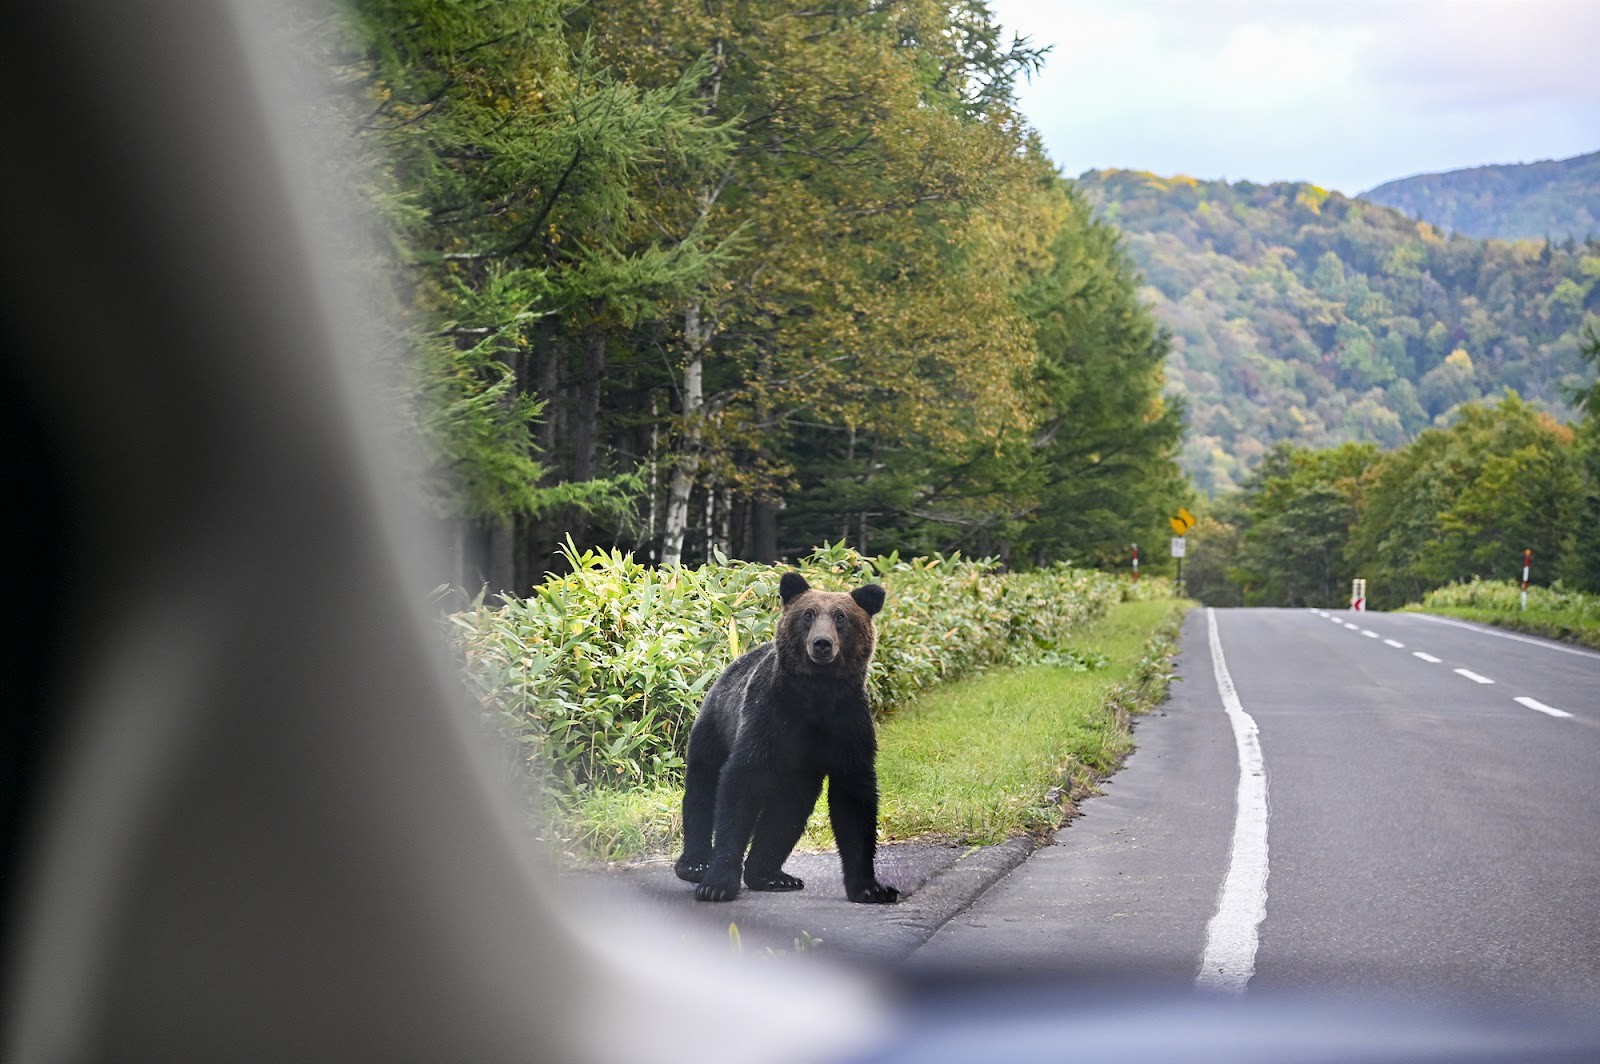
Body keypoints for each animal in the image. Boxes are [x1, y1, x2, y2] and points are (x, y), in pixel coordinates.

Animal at [672, 569, 902, 902]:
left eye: (841, 616)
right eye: (808, 614)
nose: (822, 643)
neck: (816, 695)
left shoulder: (847, 724)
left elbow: (854, 798)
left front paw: (872, 888)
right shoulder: (769, 717)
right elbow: (738, 786)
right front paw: (717, 884)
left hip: (798, 775)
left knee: (787, 811)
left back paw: (771, 875)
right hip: (714, 728)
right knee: (702, 789)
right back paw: (694, 864)